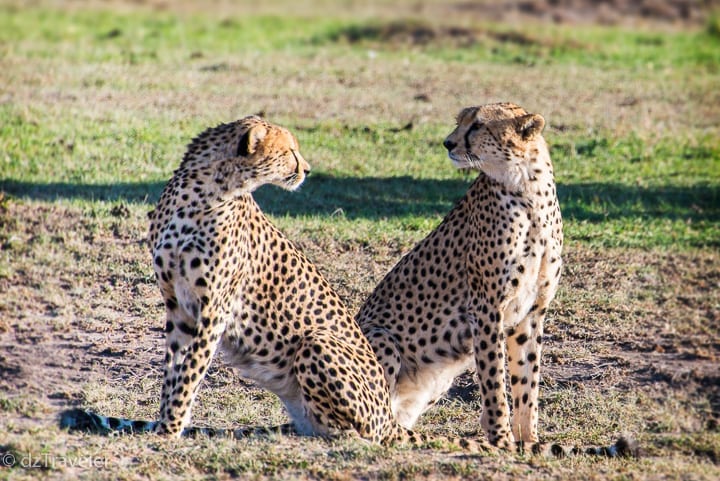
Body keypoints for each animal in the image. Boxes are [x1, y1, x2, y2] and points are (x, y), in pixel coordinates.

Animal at [60, 116, 428, 446]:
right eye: (290, 150)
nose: (307, 170)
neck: (205, 192)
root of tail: (388, 414)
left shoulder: (214, 309)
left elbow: (190, 372)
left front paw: (169, 430)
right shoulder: (178, 307)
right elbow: (174, 371)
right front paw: (167, 423)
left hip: (317, 343)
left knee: (367, 433)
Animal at [358, 100, 632, 454]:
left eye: (477, 125)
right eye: (460, 121)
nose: (448, 143)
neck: (527, 188)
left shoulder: (531, 312)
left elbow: (526, 382)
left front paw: (529, 441)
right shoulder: (486, 308)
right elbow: (494, 380)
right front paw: (502, 440)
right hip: (382, 338)